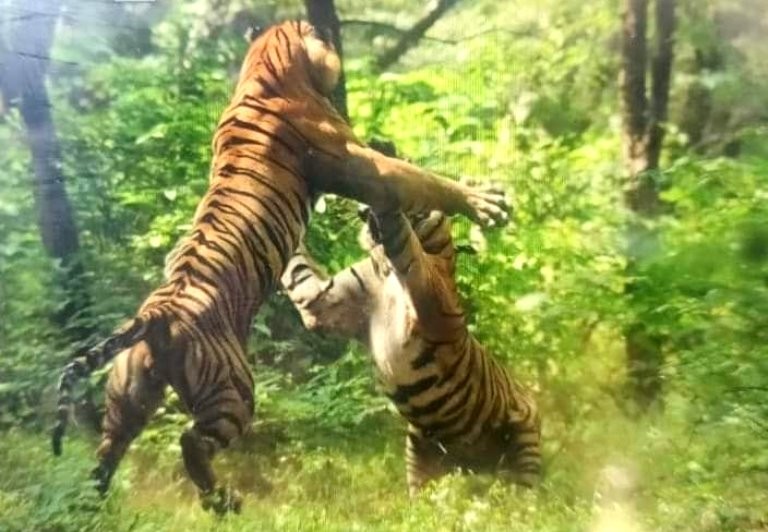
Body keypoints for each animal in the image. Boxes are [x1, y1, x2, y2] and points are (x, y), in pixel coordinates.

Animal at [50, 20, 508, 514]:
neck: (264, 71)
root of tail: (156, 314)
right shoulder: (366, 166)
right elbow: (426, 181)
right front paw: (486, 202)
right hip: (233, 390)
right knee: (190, 442)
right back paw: (225, 501)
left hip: (129, 395)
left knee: (106, 454)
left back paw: (95, 506)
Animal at [281, 206, 541, 496]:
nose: (362, 211)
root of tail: (476, 467)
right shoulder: (319, 301)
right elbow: (297, 267)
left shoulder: (430, 293)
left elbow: (406, 244)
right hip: (418, 453)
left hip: (525, 438)